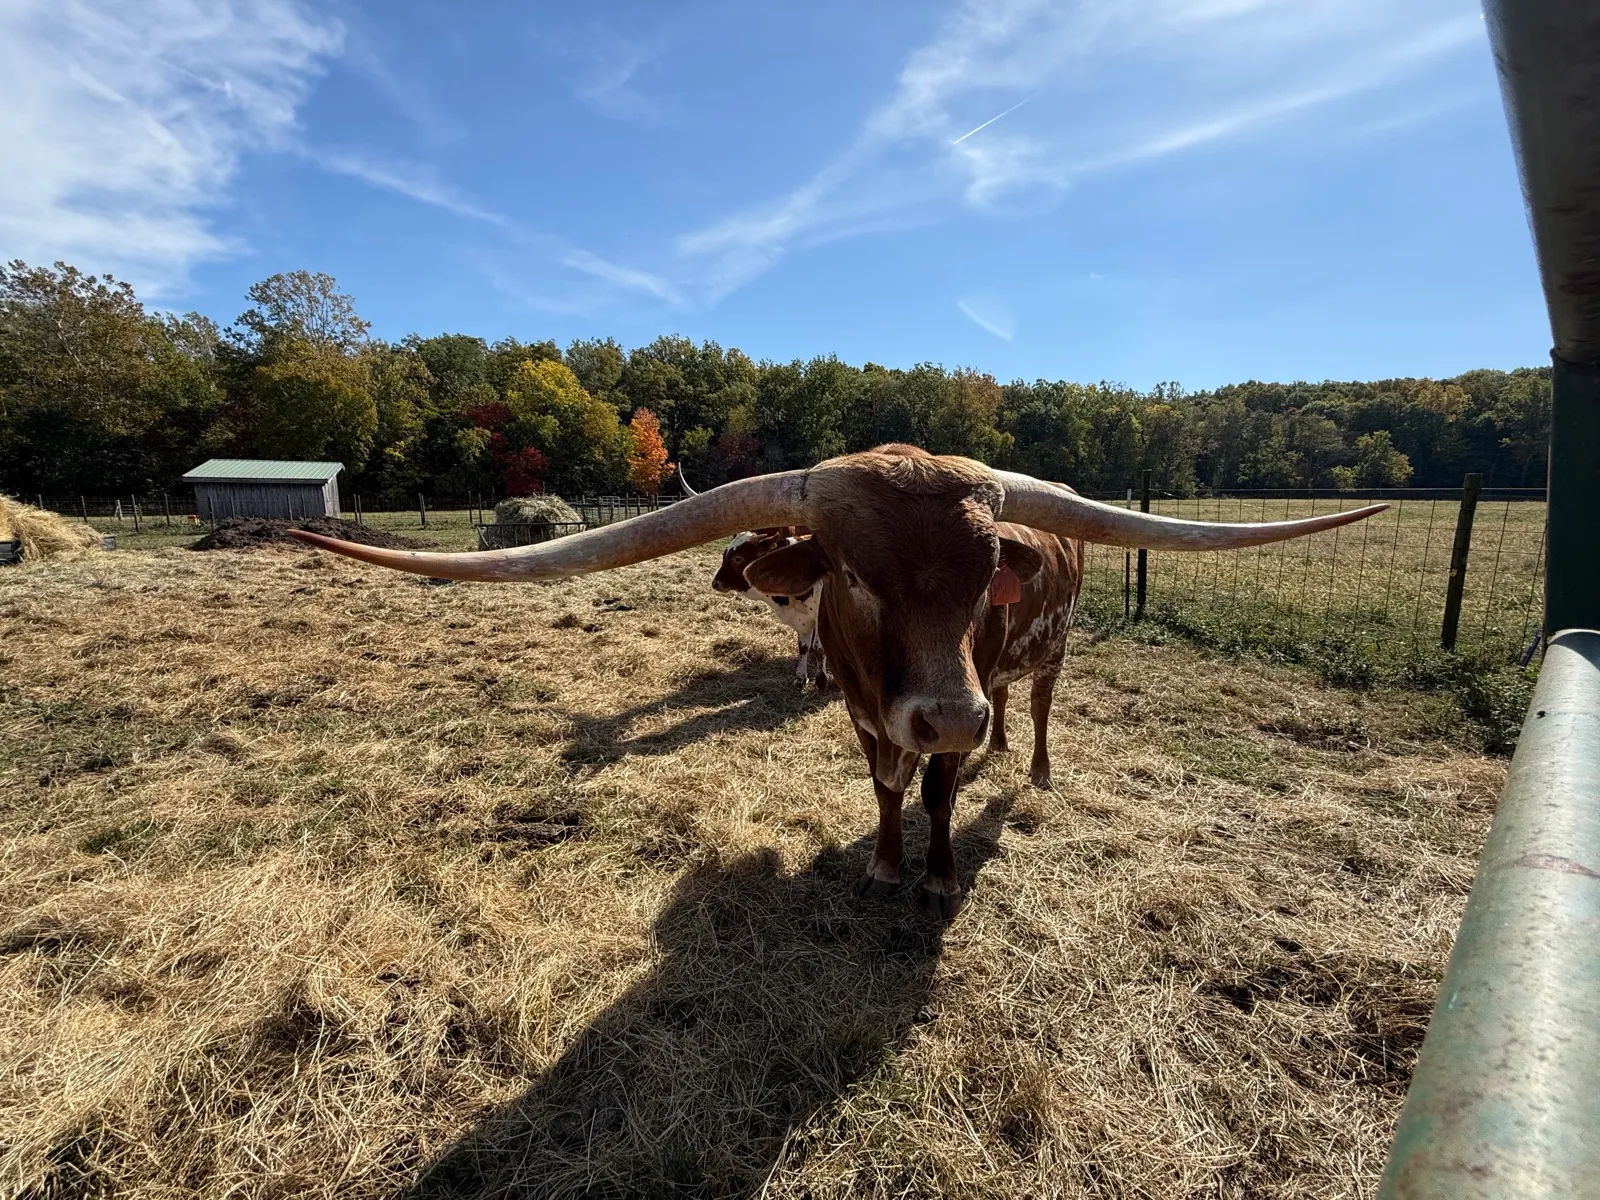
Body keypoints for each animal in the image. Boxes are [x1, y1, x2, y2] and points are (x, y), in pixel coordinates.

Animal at [711, 528, 828, 688]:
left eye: (737, 558)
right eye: (725, 555)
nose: (715, 583)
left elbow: (819, 648)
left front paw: (821, 680)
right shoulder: (802, 619)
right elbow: (803, 647)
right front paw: (800, 678)